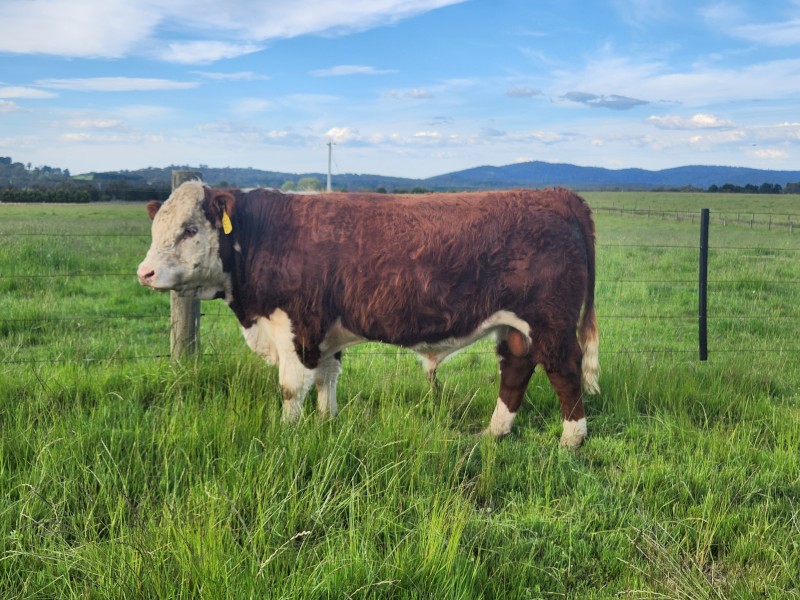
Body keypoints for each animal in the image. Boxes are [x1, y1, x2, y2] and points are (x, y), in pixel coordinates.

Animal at [136, 181, 599, 448]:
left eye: (190, 230)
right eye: (156, 228)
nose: (145, 272)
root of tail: (554, 194)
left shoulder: (296, 326)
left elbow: (291, 388)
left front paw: (286, 435)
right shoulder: (323, 333)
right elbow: (327, 378)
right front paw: (327, 423)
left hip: (551, 321)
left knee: (564, 369)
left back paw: (571, 439)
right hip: (513, 325)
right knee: (516, 367)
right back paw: (495, 432)